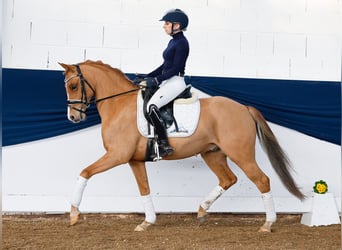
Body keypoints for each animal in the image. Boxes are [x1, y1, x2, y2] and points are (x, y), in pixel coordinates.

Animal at [60, 60, 304, 232]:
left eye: (73, 85)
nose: (73, 117)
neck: (119, 105)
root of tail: (244, 107)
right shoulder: (134, 160)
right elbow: (144, 189)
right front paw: (147, 222)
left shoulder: (117, 155)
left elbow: (85, 172)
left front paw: (73, 213)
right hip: (213, 153)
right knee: (228, 179)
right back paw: (202, 211)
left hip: (241, 154)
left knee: (262, 180)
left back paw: (267, 224)